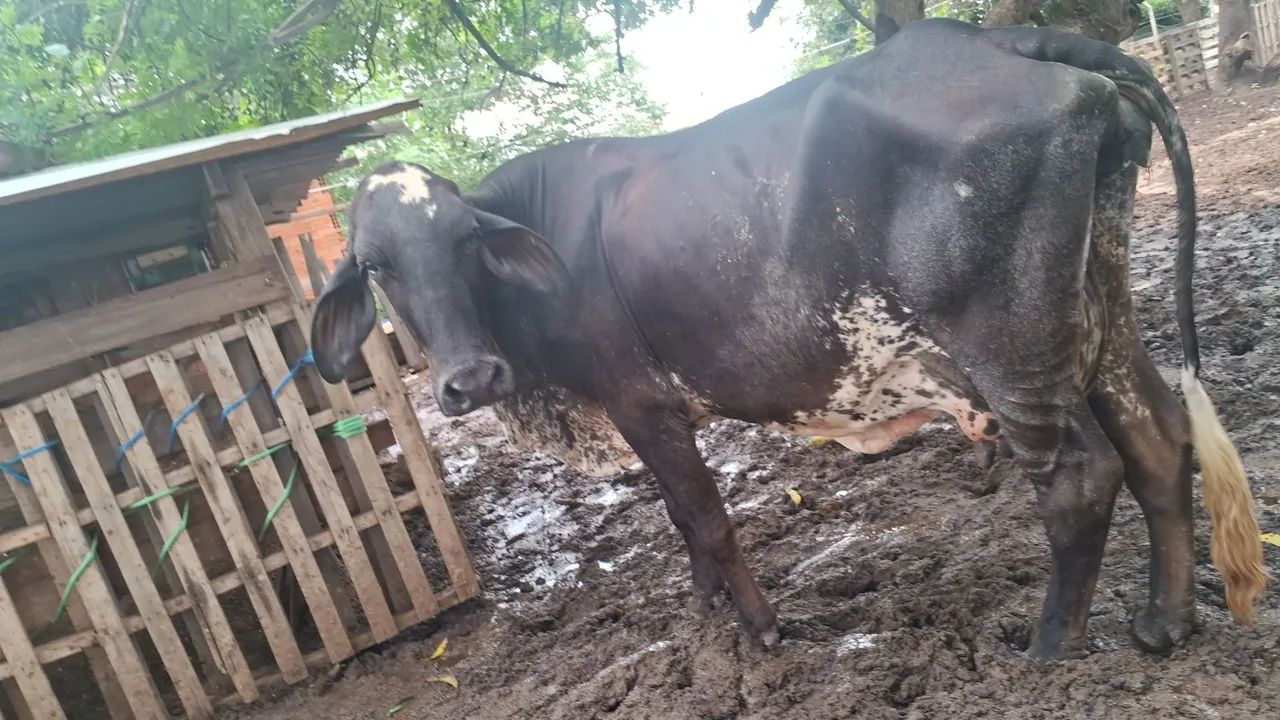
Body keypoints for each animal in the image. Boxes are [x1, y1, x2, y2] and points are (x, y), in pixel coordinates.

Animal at [311, 19, 1267, 659]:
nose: (469, 379)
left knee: (1080, 475)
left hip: (1009, 344)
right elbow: (680, 520)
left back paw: (1045, 651)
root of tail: (1011, 39)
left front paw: (762, 630)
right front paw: (706, 609)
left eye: (466, 243)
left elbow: (704, 515)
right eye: (375, 266)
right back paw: (1163, 623)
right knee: (1156, 435)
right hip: (1096, 308)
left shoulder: (642, 401)